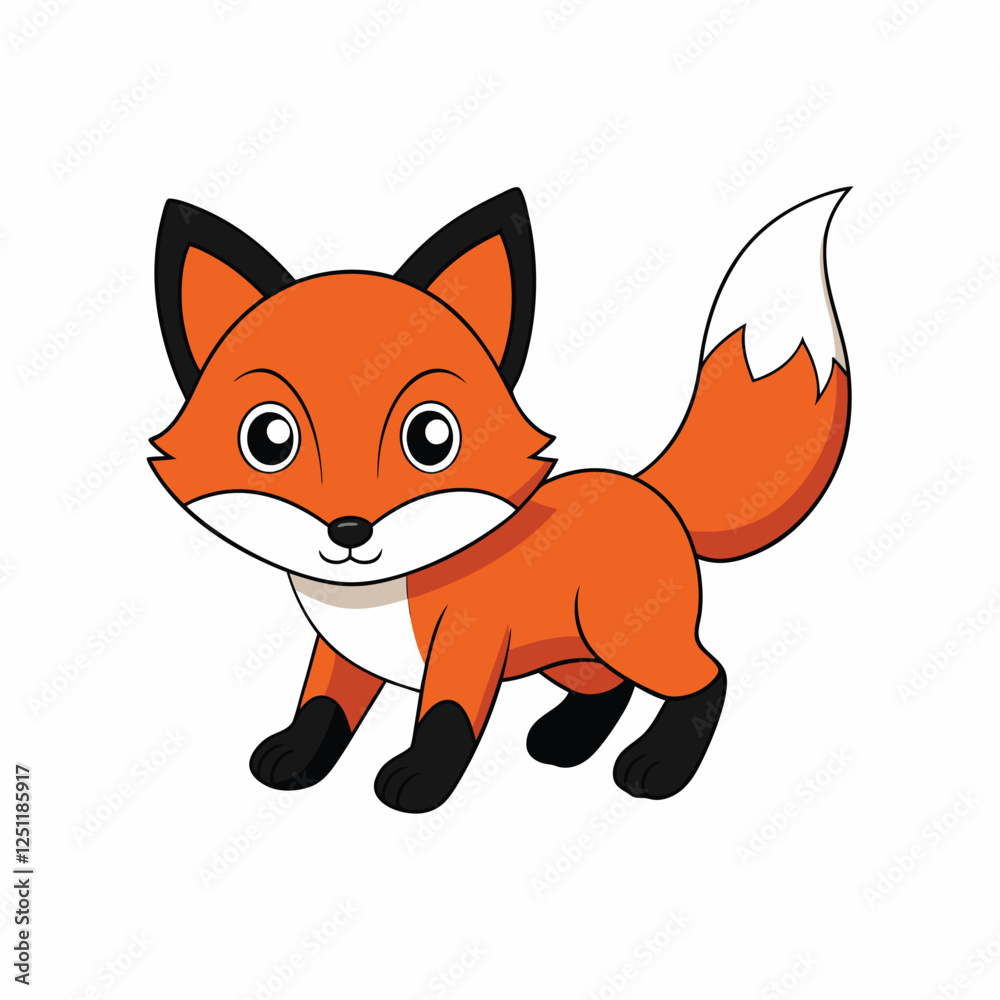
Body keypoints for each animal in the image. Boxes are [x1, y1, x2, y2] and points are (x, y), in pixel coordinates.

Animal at [149, 187, 850, 813]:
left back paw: (659, 765)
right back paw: (566, 741)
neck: (377, 596)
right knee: (610, 688)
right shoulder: (344, 654)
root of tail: (646, 488)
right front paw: (297, 758)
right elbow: (321, 708)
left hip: (627, 634)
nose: (349, 530)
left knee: (709, 676)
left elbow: (445, 718)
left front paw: (420, 781)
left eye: (431, 437)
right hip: (569, 651)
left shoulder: (470, 642)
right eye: (269, 437)